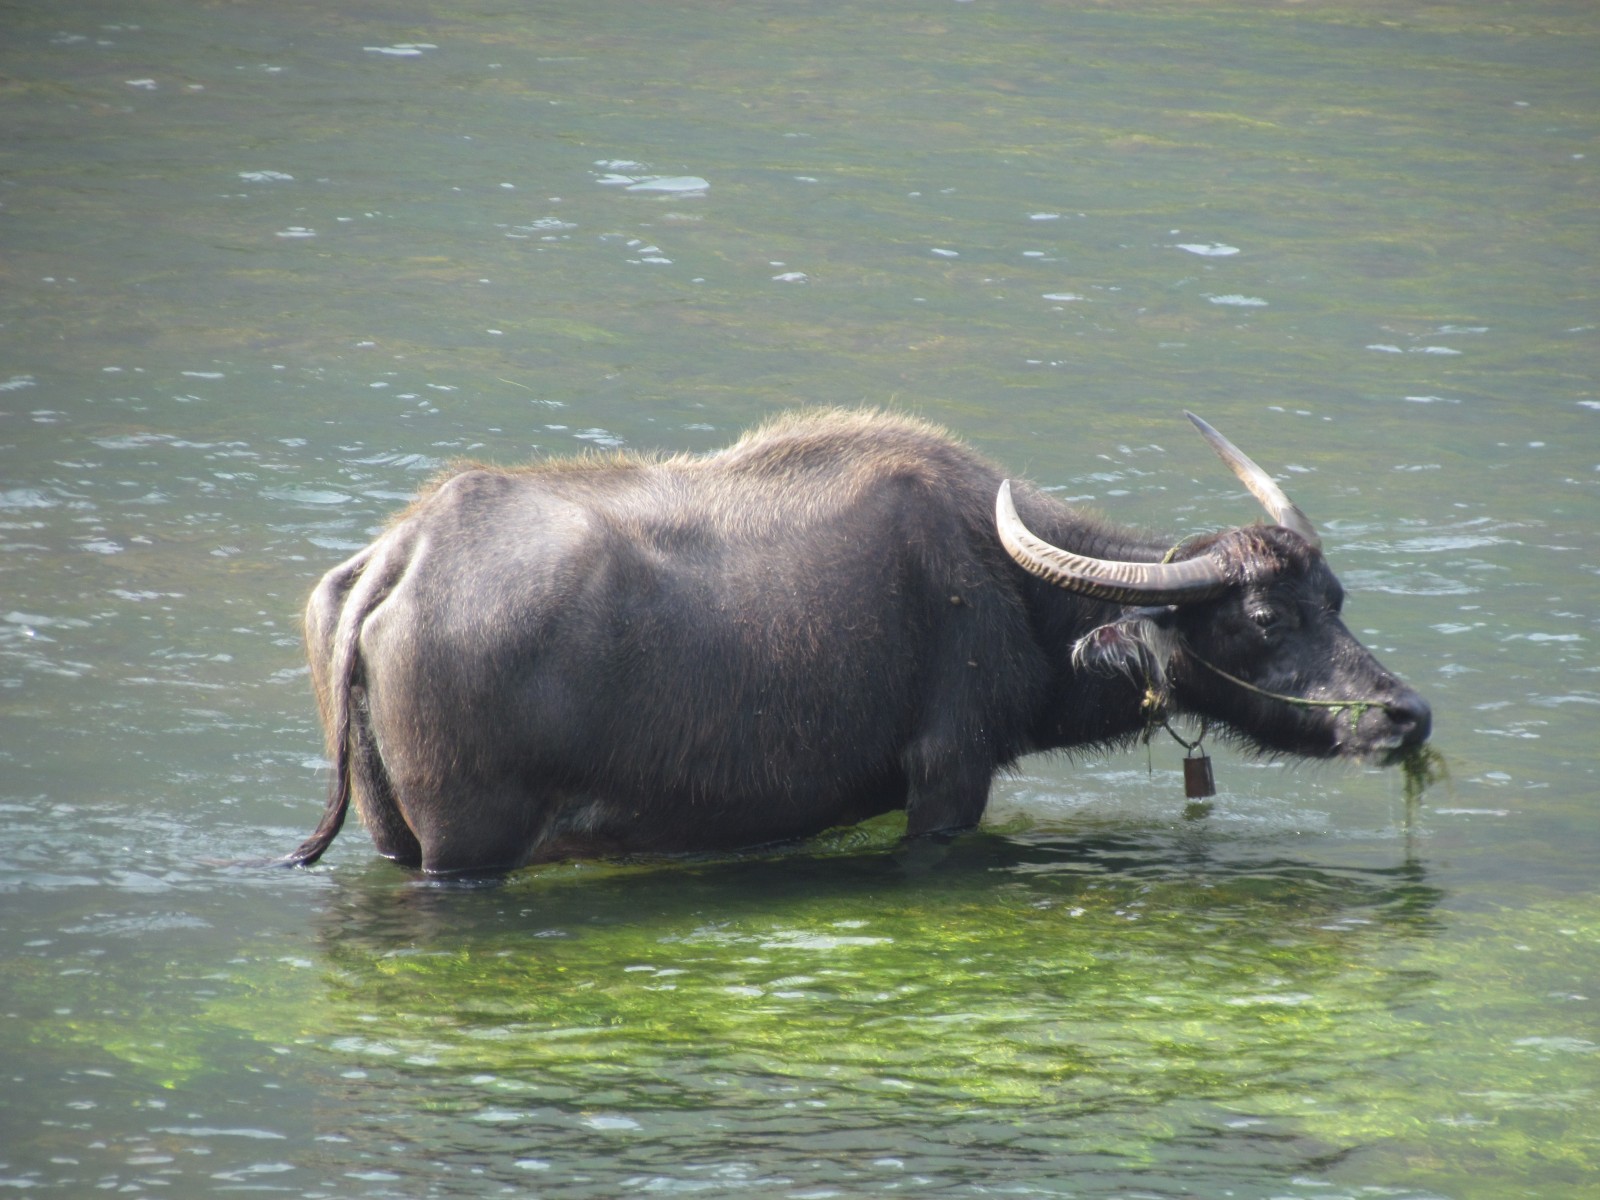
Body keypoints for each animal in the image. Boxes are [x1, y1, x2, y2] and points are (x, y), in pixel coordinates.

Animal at [277, 408, 1430, 873]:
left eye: (1337, 595)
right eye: (1265, 618)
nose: (1405, 714)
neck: (1010, 593)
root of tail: (400, 555)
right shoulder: (948, 779)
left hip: (395, 833)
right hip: (464, 850)